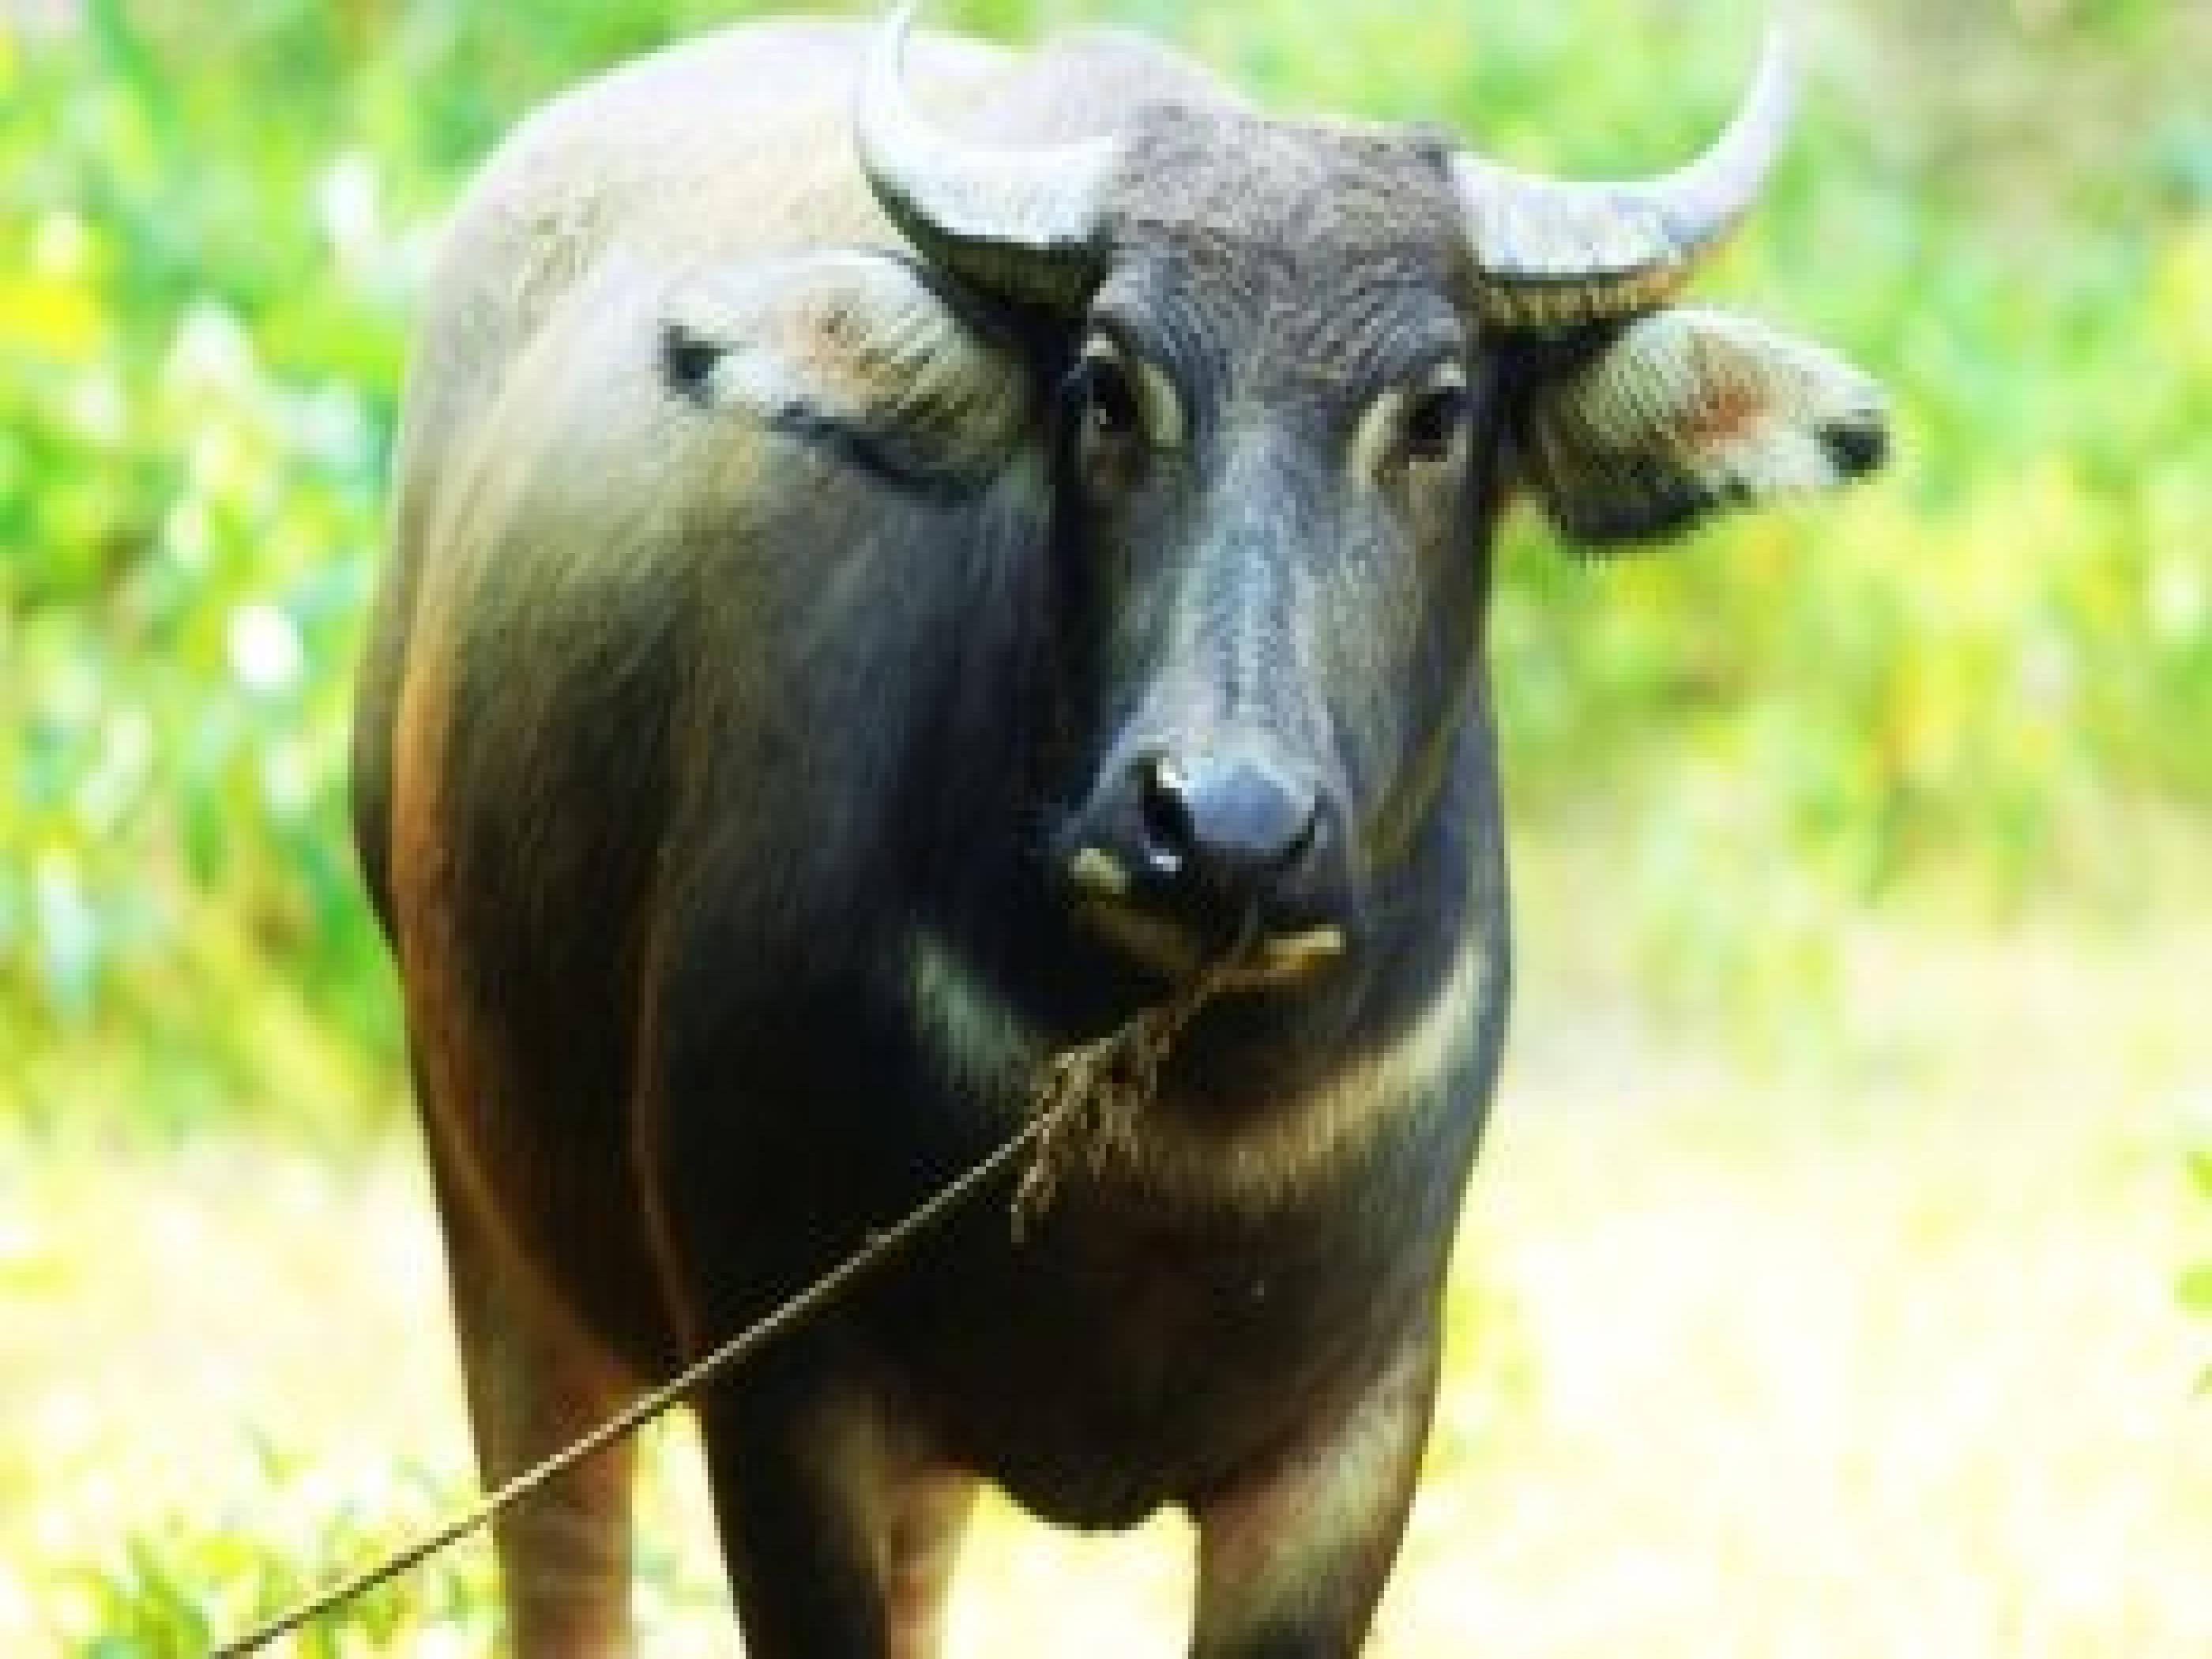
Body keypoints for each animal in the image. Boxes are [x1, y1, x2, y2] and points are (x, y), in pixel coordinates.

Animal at [351, 5, 1886, 1654]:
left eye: (1438, 414)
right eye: (1106, 386)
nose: (1222, 827)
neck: (1185, 1131)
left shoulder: (1351, 1441)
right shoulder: (781, 1391)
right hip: (494, 1208)